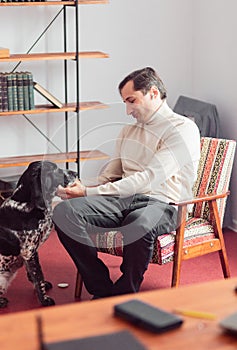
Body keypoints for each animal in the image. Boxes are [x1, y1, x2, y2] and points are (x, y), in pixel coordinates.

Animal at [0, 160, 76, 308]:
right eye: (54, 169)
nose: (75, 173)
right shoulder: (29, 252)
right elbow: (38, 276)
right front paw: (45, 300)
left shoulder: (31, 252)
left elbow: (34, 275)